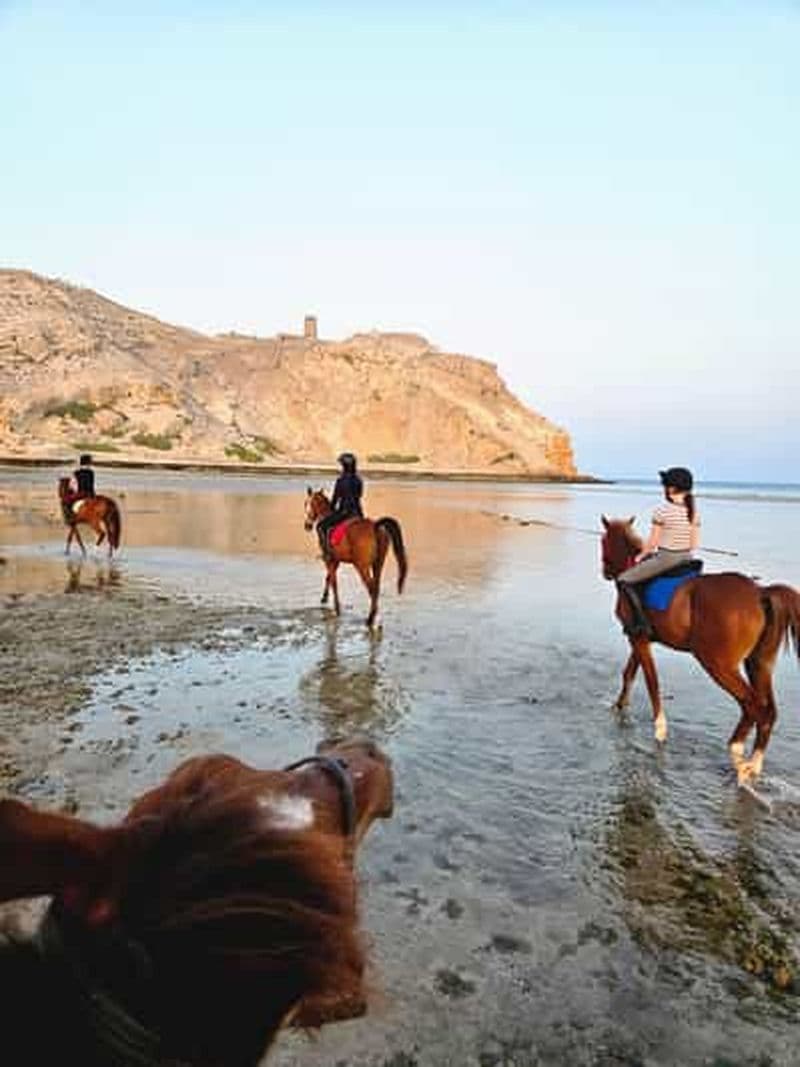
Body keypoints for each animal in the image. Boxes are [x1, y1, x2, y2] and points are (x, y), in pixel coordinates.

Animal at [304, 488, 408, 627]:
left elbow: (333, 582)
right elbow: (329, 578)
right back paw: (376, 617)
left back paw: (370, 618)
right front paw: (325, 598)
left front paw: (336, 608)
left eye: (311, 504)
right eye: (306, 504)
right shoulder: (336, 560)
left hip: (361, 566)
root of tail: (375, 526)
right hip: (378, 564)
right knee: (376, 587)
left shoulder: (329, 559)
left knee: (371, 588)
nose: (307, 525)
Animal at [601, 516, 800, 785]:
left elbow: (651, 681)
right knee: (768, 711)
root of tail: (760, 593)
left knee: (752, 705)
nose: (606, 572)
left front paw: (660, 728)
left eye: (604, 541)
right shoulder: (641, 638)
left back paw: (737, 753)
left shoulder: (638, 639)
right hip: (759, 663)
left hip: (717, 664)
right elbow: (630, 673)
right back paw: (754, 764)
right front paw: (620, 705)